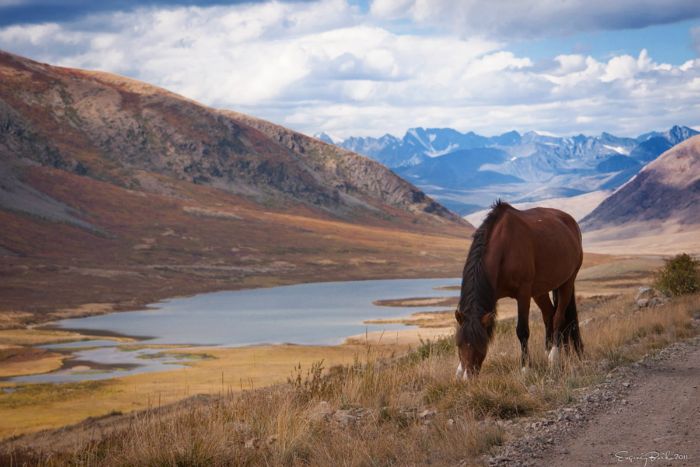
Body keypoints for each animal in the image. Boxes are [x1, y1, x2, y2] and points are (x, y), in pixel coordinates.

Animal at [452, 201, 584, 380]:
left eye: (481, 344)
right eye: (459, 344)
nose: (468, 378)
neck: (504, 247)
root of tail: (571, 223)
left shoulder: (523, 293)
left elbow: (522, 330)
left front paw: (525, 368)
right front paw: (459, 371)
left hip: (567, 282)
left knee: (558, 317)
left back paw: (554, 357)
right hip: (540, 291)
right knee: (549, 315)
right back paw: (549, 352)